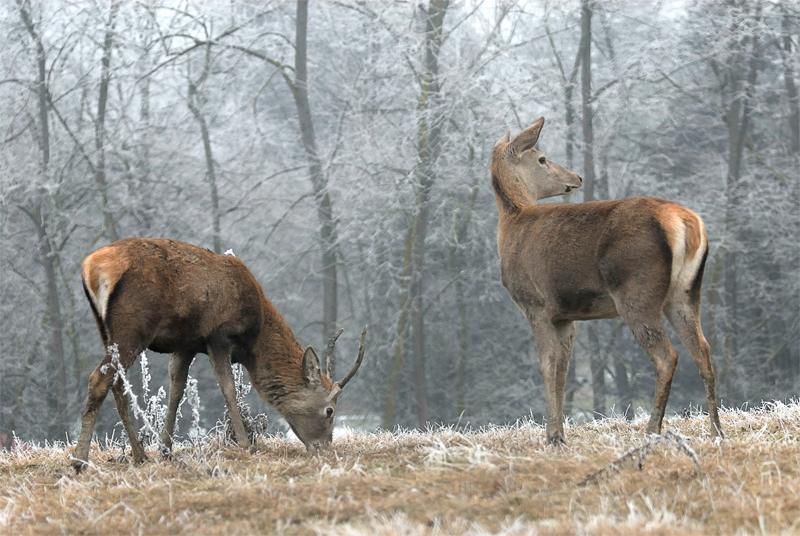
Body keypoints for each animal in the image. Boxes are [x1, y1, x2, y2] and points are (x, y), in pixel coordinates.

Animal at [72, 237, 366, 472]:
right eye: (329, 411)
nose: (324, 449)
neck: (253, 336)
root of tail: (90, 267)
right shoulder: (219, 336)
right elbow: (228, 388)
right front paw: (246, 444)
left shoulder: (186, 343)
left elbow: (176, 389)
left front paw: (166, 450)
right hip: (133, 327)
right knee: (100, 379)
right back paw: (79, 461)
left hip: (106, 330)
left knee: (117, 384)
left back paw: (140, 455)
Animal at [490, 116, 720, 444]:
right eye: (543, 158)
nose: (576, 177)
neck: (510, 226)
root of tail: (689, 224)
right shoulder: (565, 315)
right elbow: (563, 368)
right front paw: (560, 434)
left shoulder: (535, 303)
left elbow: (547, 364)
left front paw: (552, 436)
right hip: (686, 292)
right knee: (703, 350)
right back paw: (716, 431)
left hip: (636, 289)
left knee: (667, 356)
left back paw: (652, 430)